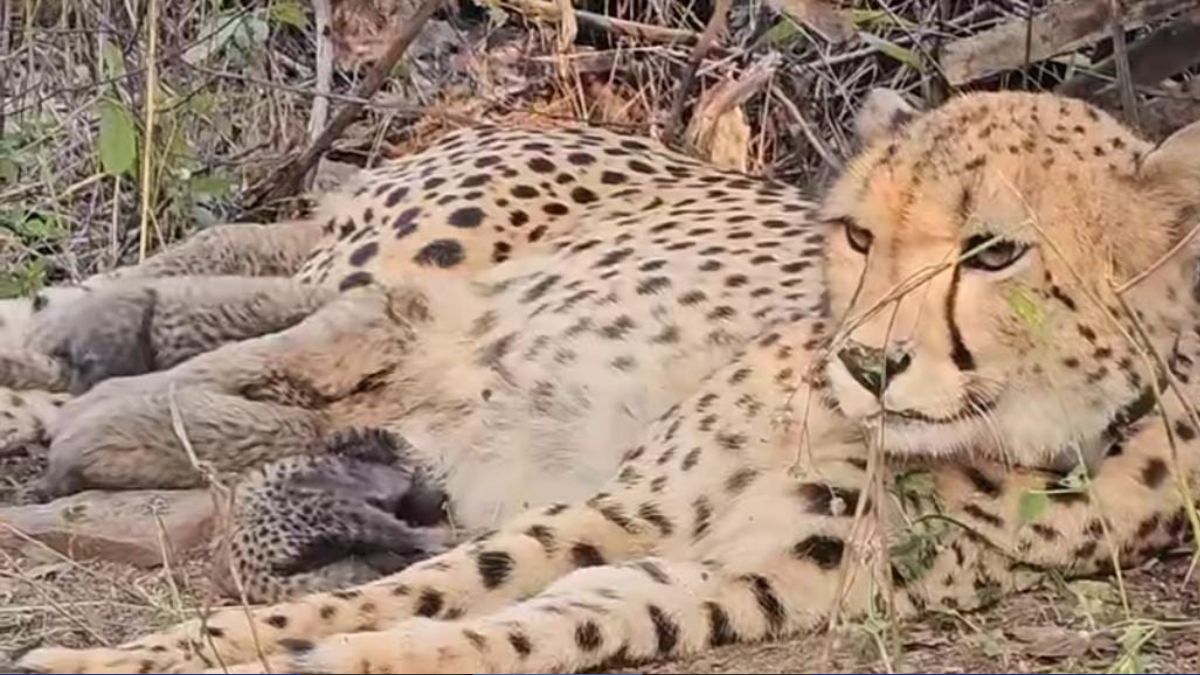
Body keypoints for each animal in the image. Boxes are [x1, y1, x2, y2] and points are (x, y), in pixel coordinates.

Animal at [11, 88, 1200, 674]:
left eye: (995, 253)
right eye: (860, 235)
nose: (865, 363)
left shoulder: (728, 579)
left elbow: (508, 627)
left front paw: (329, 655)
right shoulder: (631, 504)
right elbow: (417, 587)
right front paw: (128, 659)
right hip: (401, 269)